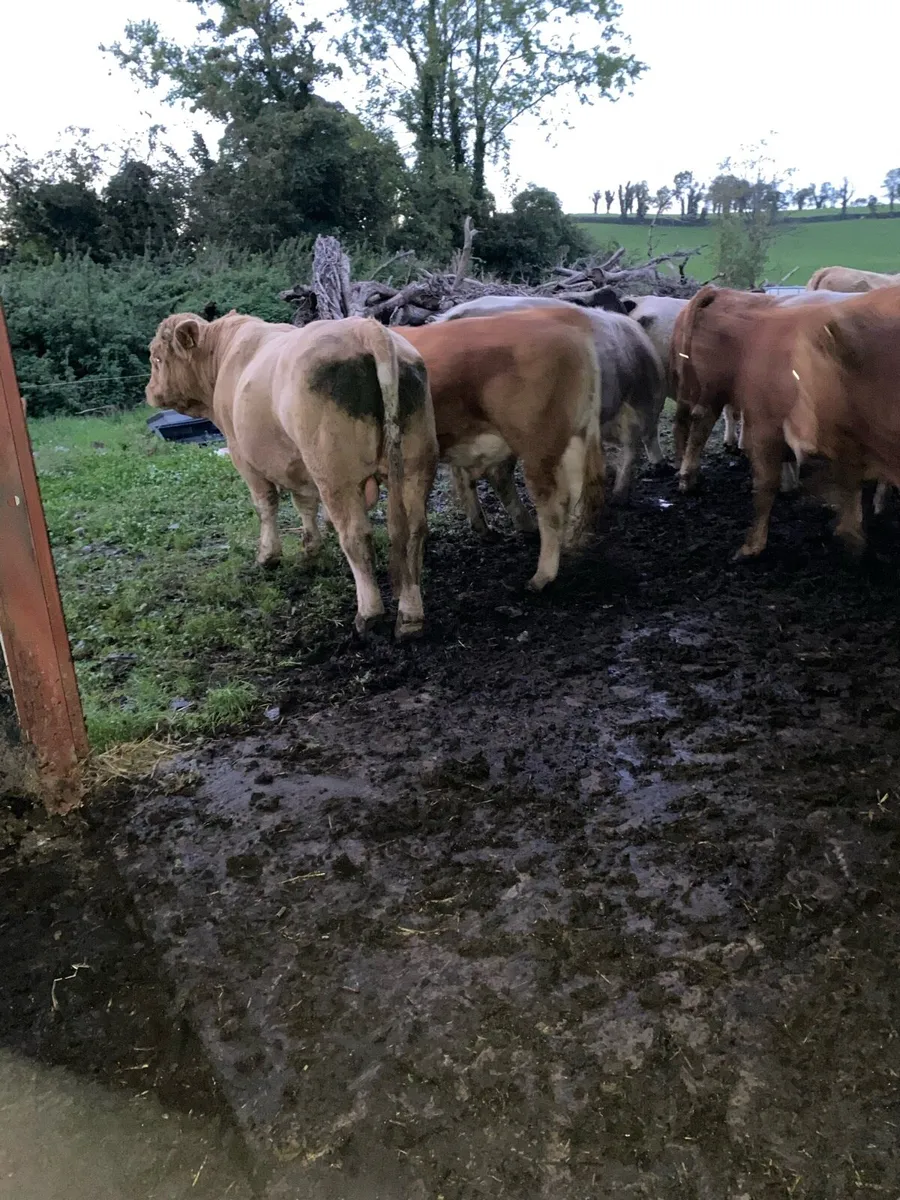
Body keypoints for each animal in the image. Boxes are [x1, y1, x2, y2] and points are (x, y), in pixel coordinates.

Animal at [146, 312, 438, 639]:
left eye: (156, 358)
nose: (150, 391)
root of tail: (365, 327)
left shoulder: (243, 456)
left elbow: (266, 505)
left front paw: (267, 556)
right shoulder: (297, 461)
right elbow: (304, 503)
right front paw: (310, 549)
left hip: (336, 476)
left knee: (356, 536)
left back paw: (368, 614)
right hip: (415, 465)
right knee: (412, 532)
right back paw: (410, 616)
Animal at [395, 307, 604, 591]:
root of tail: (561, 314)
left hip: (537, 445)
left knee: (552, 503)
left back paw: (541, 576)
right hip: (573, 437)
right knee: (578, 490)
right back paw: (570, 542)